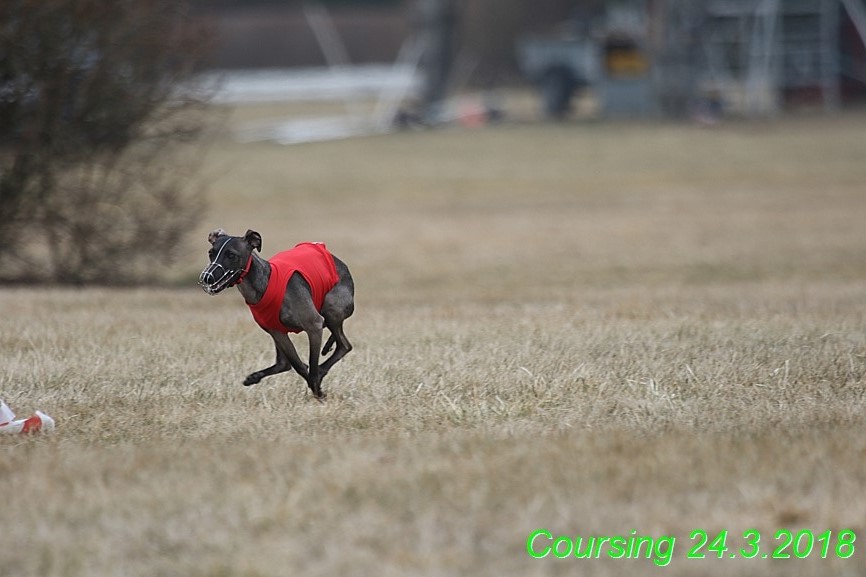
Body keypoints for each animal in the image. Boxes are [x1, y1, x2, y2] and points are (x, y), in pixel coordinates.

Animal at [200, 227, 354, 398]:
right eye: (211, 253)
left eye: (231, 255)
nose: (207, 278)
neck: (265, 282)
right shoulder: (277, 332)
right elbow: (297, 365)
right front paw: (315, 385)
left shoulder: (313, 325)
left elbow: (310, 366)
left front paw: (318, 389)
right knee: (284, 363)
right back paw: (255, 377)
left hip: (331, 310)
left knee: (344, 345)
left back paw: (322, 370)